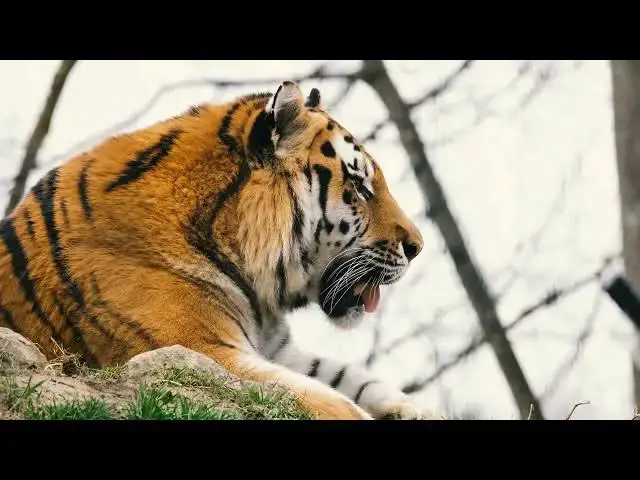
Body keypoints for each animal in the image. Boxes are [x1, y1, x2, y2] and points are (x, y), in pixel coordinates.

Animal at [0, 80, 441, 420]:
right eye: (361, 188)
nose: (418, 247)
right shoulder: (201, 349)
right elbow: (334, 402)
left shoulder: (277, 348)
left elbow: (354, 378)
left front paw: (416, 410)